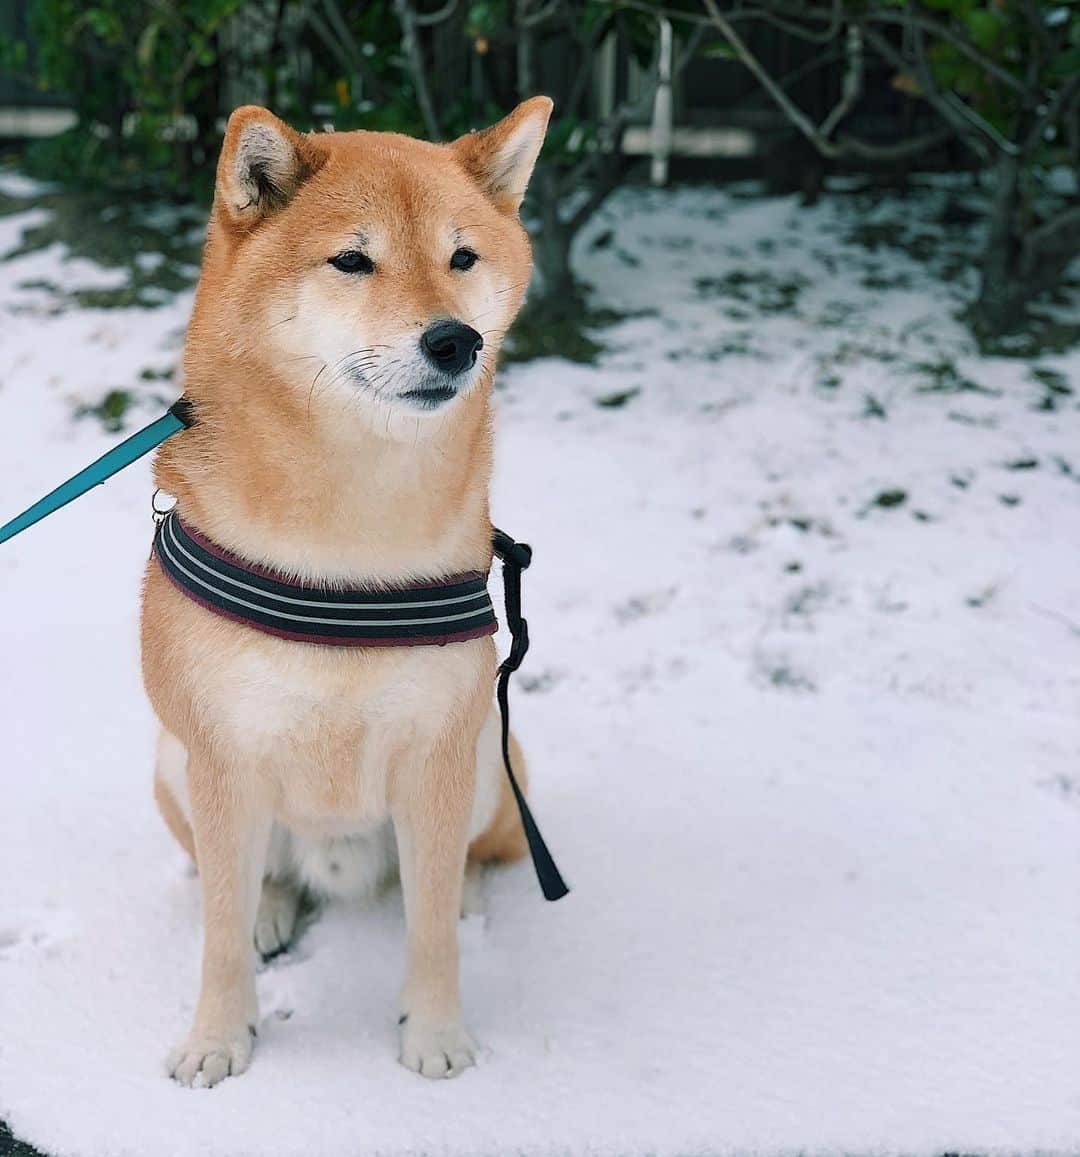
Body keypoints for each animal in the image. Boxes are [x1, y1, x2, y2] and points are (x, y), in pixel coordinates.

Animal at [140, 97, 550, 1082]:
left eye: (462, 257)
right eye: (353, 260)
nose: (455, 339)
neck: (349, 535)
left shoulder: (439, 751)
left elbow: (431, 929)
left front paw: (435, 1036)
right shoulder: (223, 754)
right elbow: (216, 932)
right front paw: (217, 1039)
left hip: (489, 757)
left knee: (463, 865)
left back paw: (469, 894)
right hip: (175, 762)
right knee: (255, 880)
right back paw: (273, 909)